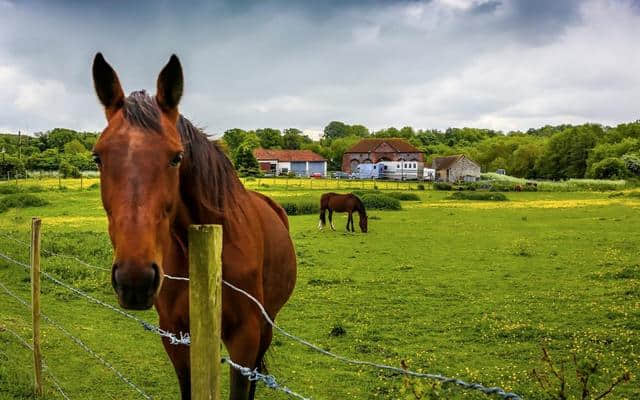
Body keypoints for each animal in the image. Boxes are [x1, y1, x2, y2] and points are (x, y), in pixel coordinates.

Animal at [92, 54, 298, 400]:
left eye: (176, 157)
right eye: (97, 158)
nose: (135, 279)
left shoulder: (246, 336)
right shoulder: (175, 334)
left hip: (266, 326)